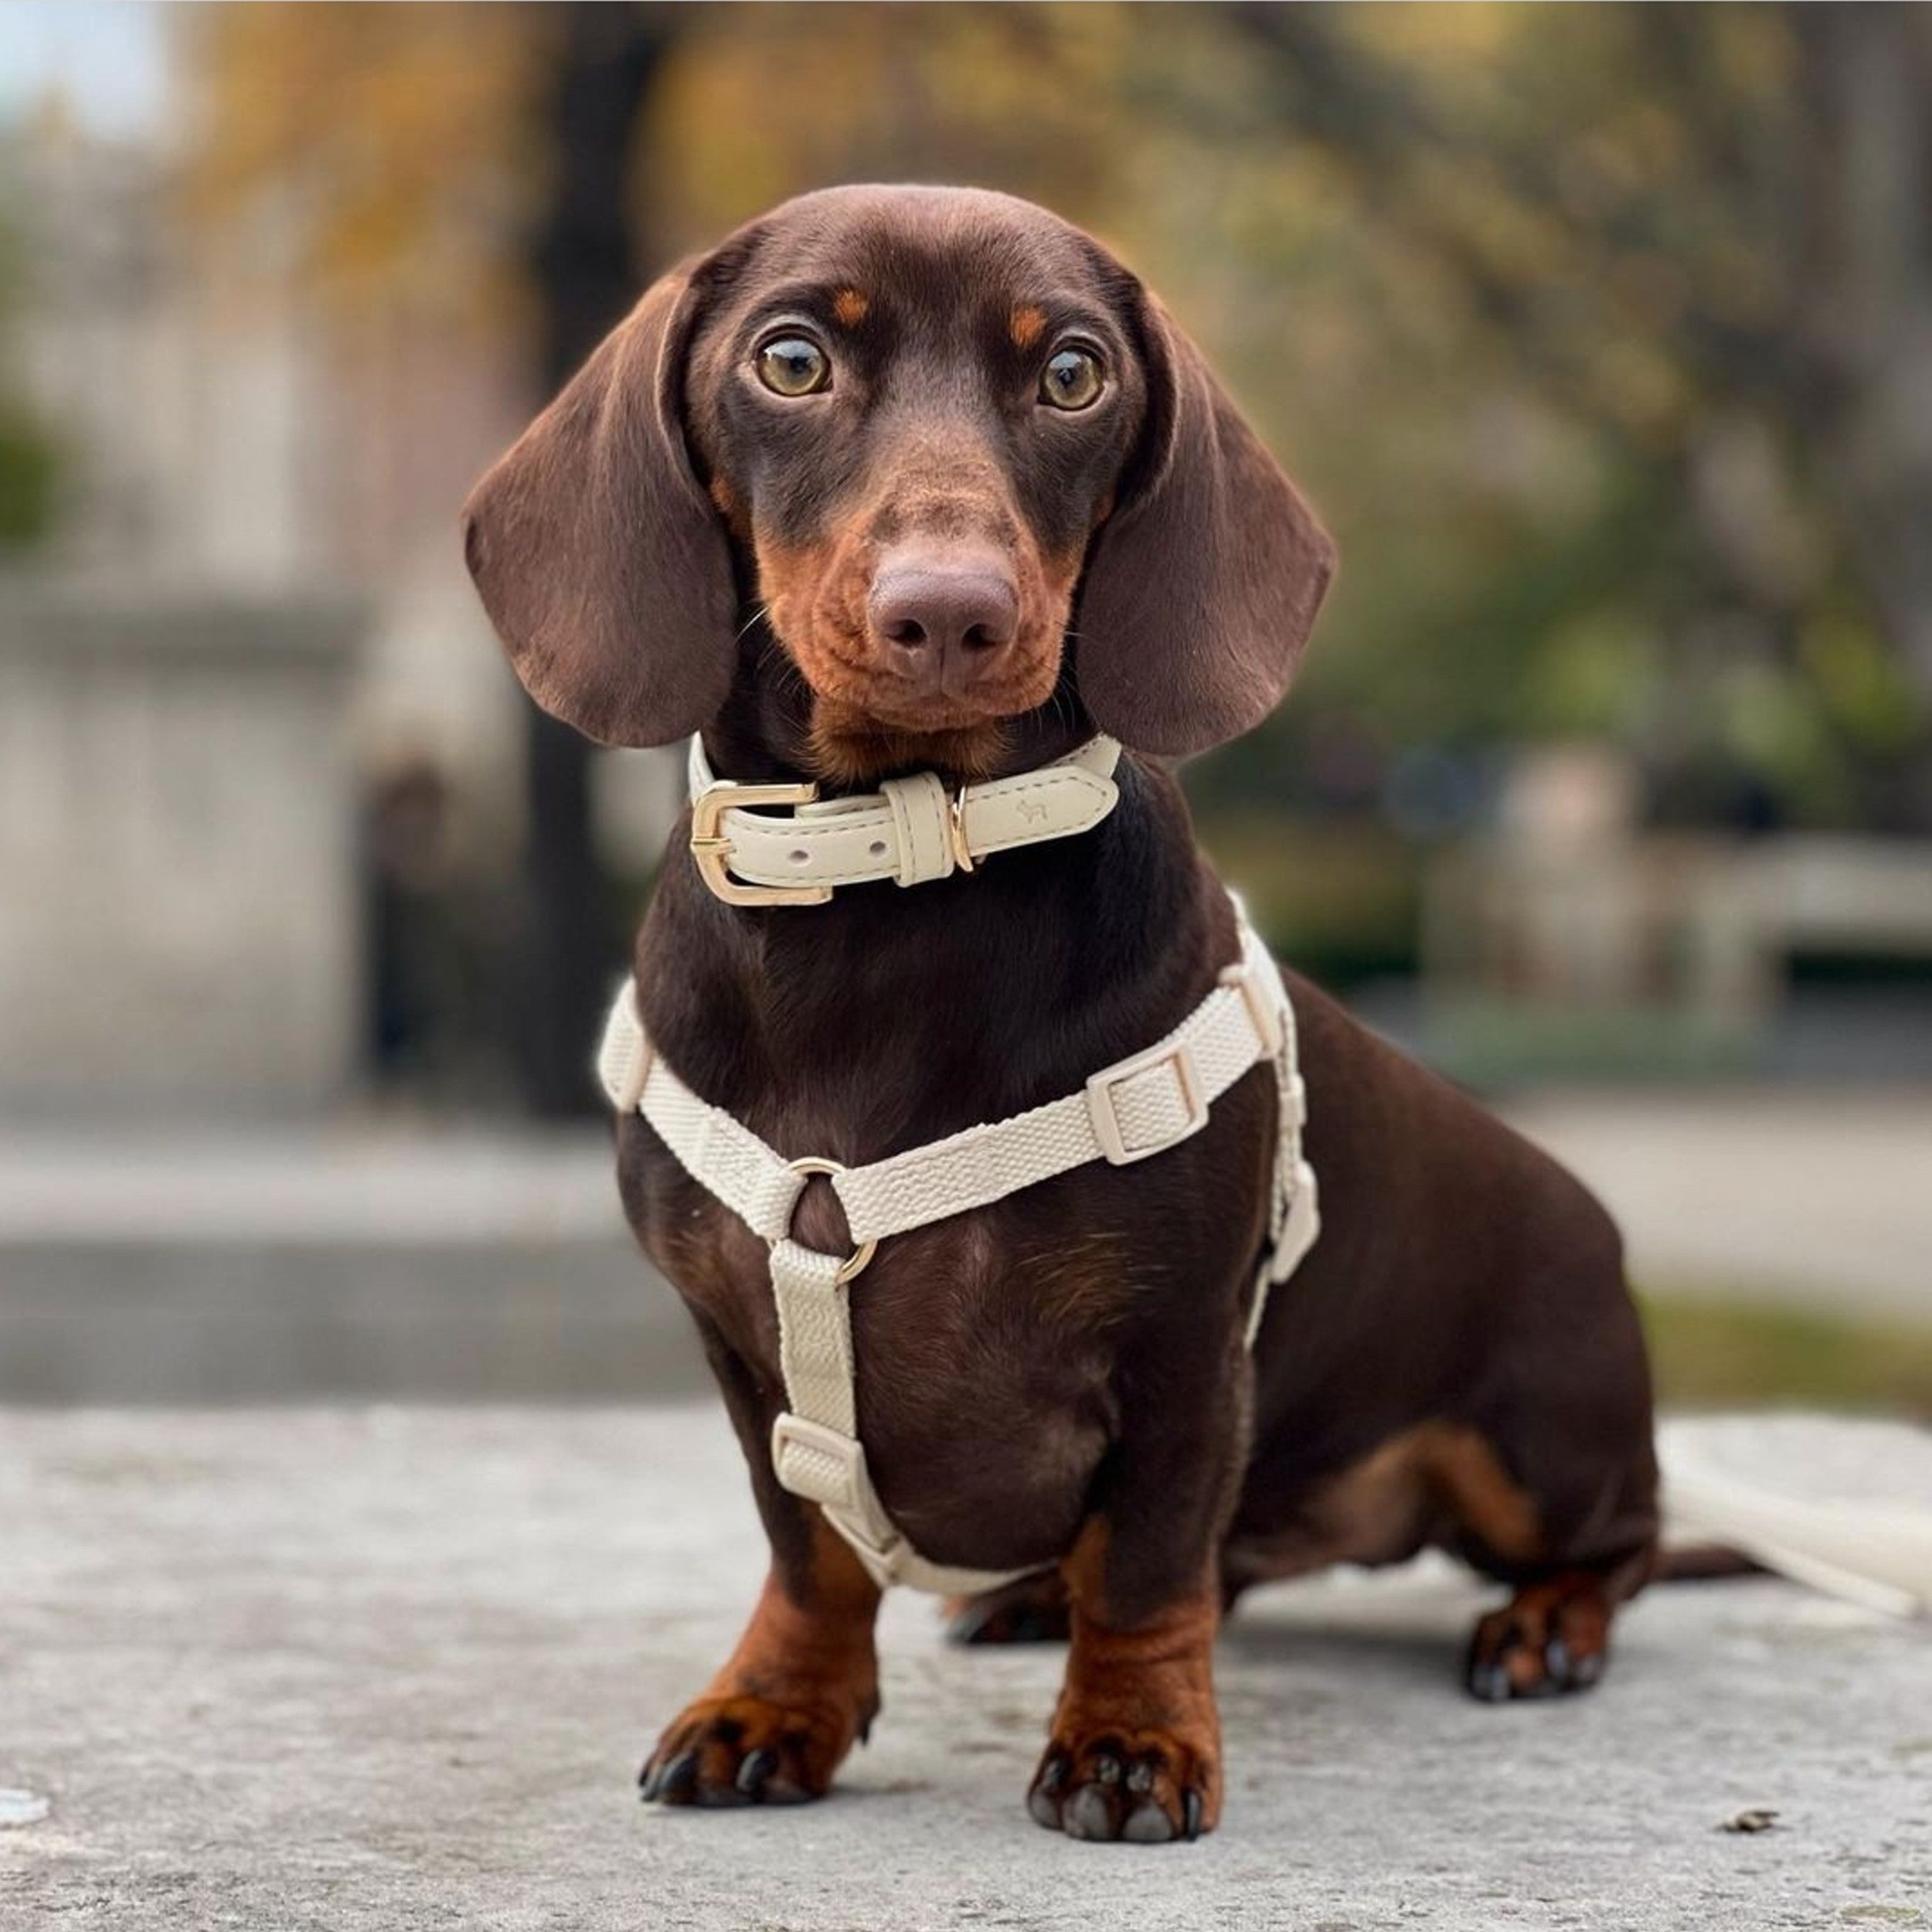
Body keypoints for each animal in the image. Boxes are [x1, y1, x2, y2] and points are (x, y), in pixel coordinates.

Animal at [460, 182, 1654, 1839]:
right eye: (790, 359)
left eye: (1074, 373)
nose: (950, 616)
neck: (897, 878)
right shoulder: (742, 1355)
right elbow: (806, 1547)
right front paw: (777, 1701)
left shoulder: (1181, 1351)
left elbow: (1149, 1565)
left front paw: (1132, 1740)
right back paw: (1033, 1593)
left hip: (1542, 1444)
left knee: (1618, 1550)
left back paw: (1545, 1626)